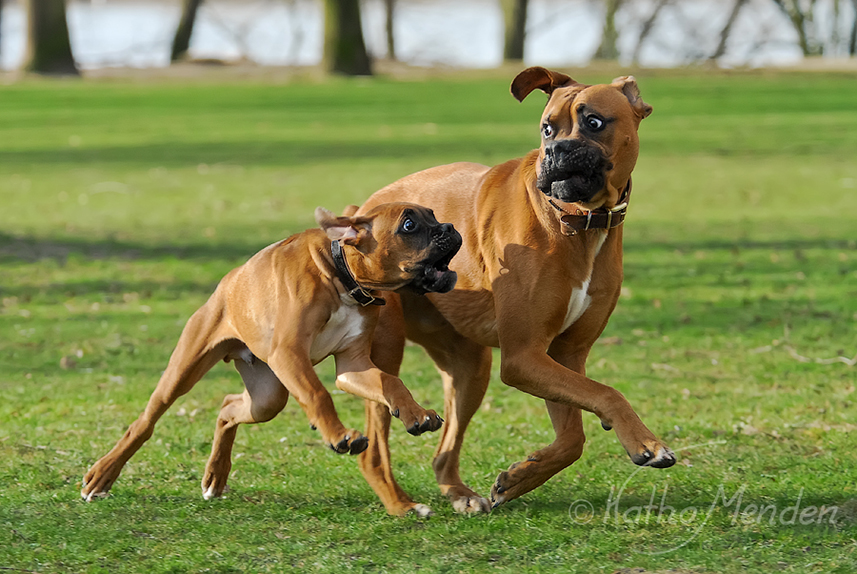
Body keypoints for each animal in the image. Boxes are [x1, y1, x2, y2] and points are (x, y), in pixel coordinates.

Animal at [82, 204, 462, 512]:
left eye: (432, 215)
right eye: (409, 225)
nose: (449, 227)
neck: (340, 275)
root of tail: (228, 282)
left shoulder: (353, 367)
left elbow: (390, 382)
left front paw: (416, 414)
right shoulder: (290, 354)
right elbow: (318, 394)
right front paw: (340, 436)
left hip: (267, 396)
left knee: (228, 407)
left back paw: (215, 476)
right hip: (185, 372)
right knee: (145, 422)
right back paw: (101, 477)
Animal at [354, 67, 676, 516]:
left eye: (594, 122)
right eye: (547, 128)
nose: (555, 151)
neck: (577, 222)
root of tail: (360, 213)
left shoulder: (562, 355)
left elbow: (574, 436)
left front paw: (520, 478)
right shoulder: (524, 357)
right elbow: (607, 392)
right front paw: (646, 443)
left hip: (471, 369)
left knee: (444, 449)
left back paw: (460, 494)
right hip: (386, 351)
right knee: (374, 444)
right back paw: (402, 504)